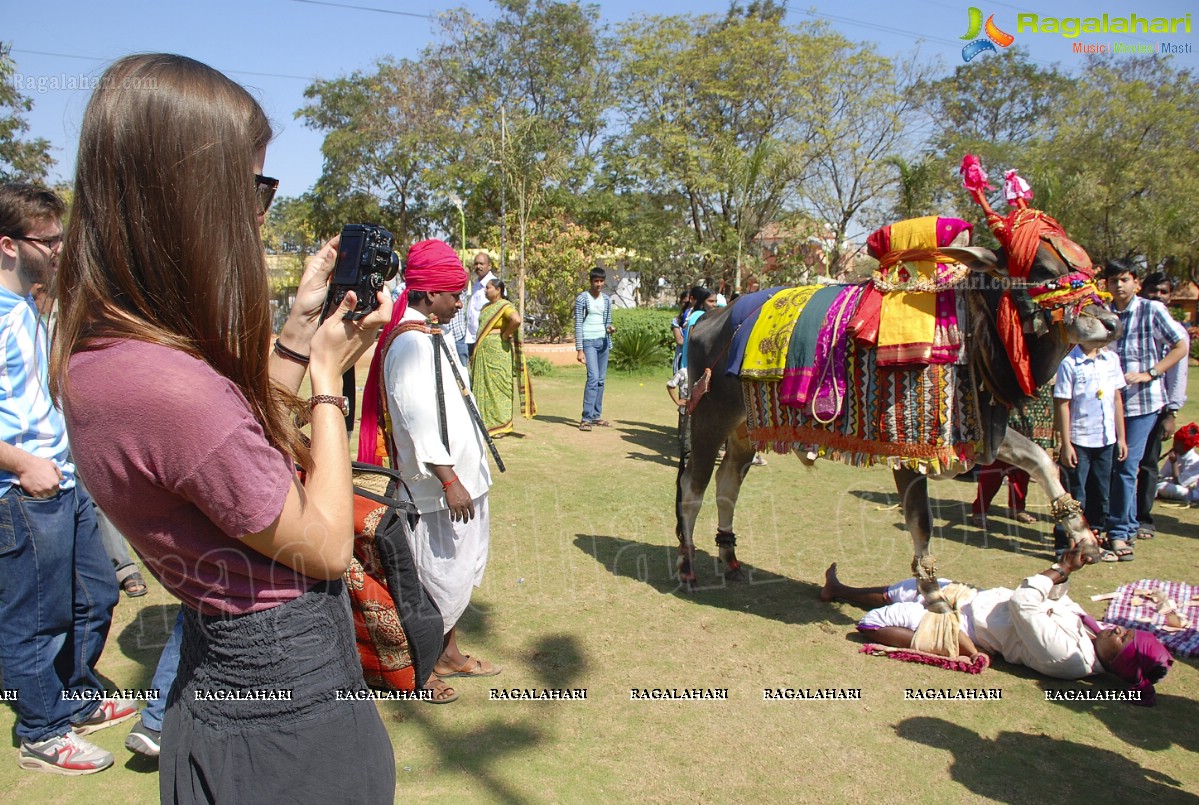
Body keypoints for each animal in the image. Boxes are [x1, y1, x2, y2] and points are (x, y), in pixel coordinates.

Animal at [681, 157, 1117, 611]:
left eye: (1086, 264)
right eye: (1043, 268)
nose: (1111, 323)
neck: (970, 330)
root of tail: (712, 318)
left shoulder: (979, 432)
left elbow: (1040, 459)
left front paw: (1083, 537)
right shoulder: (908, 451)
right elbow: (921, 522)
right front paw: (933, 595)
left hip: (745, 431)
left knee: (727, 485)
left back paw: (729, 556)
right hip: (709, 418)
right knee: (692, 488)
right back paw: (689, 565)